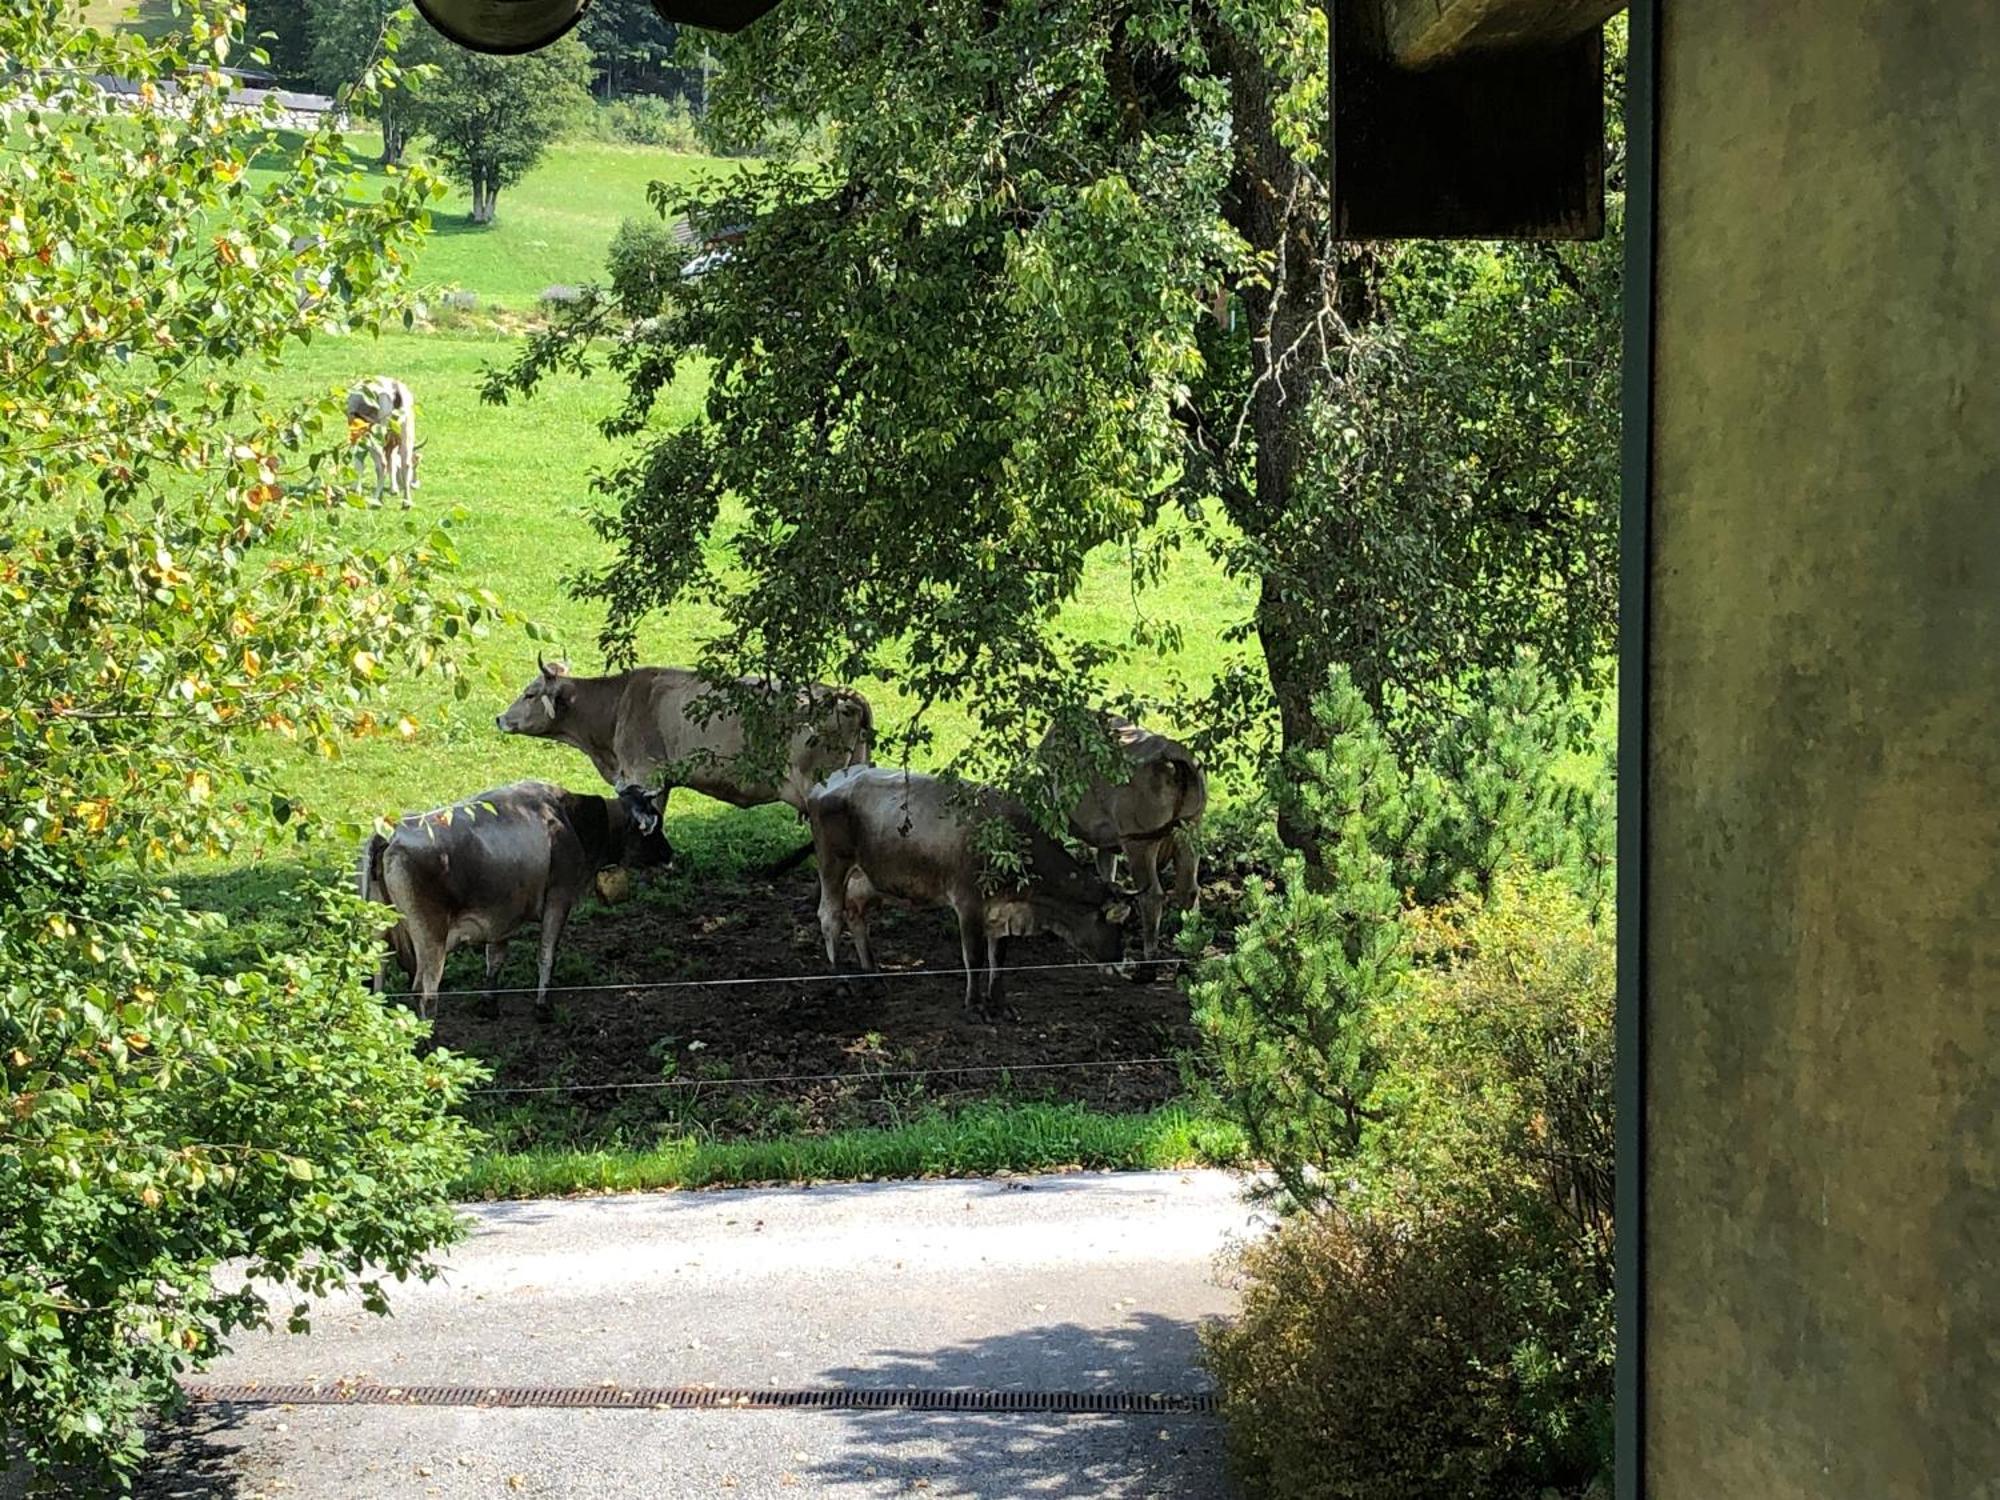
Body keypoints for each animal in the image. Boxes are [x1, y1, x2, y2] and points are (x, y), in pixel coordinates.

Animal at [344, 376, 418, 512]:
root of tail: (395, 389)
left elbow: (359, 461)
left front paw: (355, 490)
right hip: (407, 431)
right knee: (405, 463)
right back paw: (406, 503)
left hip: (375, 433)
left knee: (381, 464)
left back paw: (376, 500)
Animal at [360, 788, 672, 1024]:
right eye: (656, 821)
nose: (670, 854)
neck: (570, 819)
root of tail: (391, 833)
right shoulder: (559, 898)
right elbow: (546, 954)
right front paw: (542, 1005)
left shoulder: (502, 916)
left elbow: (495, 959)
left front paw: (489, 1004)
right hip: (431, 938)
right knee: (425, 991)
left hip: (380, 931)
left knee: (378, 976)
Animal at [804, 764, 1136, 1024]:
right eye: (1115, 924)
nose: (1121, 960)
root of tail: (829, 781)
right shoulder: (969, 904)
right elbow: (974, 957)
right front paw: (975, 1006)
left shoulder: (1002, 910)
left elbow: (998, 958)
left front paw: (1000, 1003)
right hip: (833, 865)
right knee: (830, 918)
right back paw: (841, 980)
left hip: (865, 878)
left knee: (856, 915)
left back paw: (873, 975)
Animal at [1056, 716, 1208, 964]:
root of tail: (1170, 752)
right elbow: (1107, 870)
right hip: (1189, 832)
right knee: (1189, 889)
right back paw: (1191, 946)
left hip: (1140, 844)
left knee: (1152, 895)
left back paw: (1150, 953)